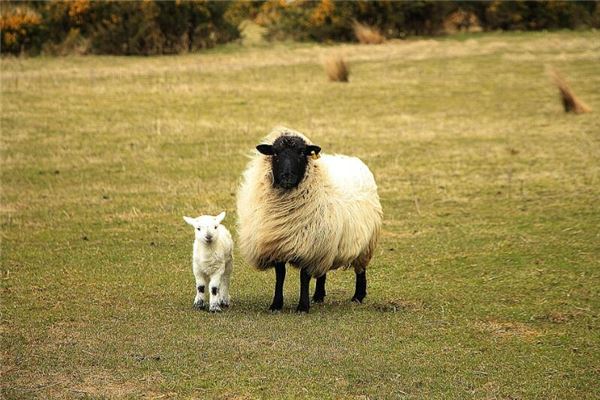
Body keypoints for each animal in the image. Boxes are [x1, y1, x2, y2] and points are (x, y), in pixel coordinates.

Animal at [237, 126, 382, 312]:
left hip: (364, 243)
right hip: (326, 242)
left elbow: (304, 277)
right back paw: (319, 296)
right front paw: (276, 304)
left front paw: (302, 306)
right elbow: (280, 276)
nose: (287, 177)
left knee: (360, 270)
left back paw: (358, 296)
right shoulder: (279, 245)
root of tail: (353, 160)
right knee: (322, 271)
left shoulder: (309, 247)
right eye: (275, 153)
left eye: (301, 153)